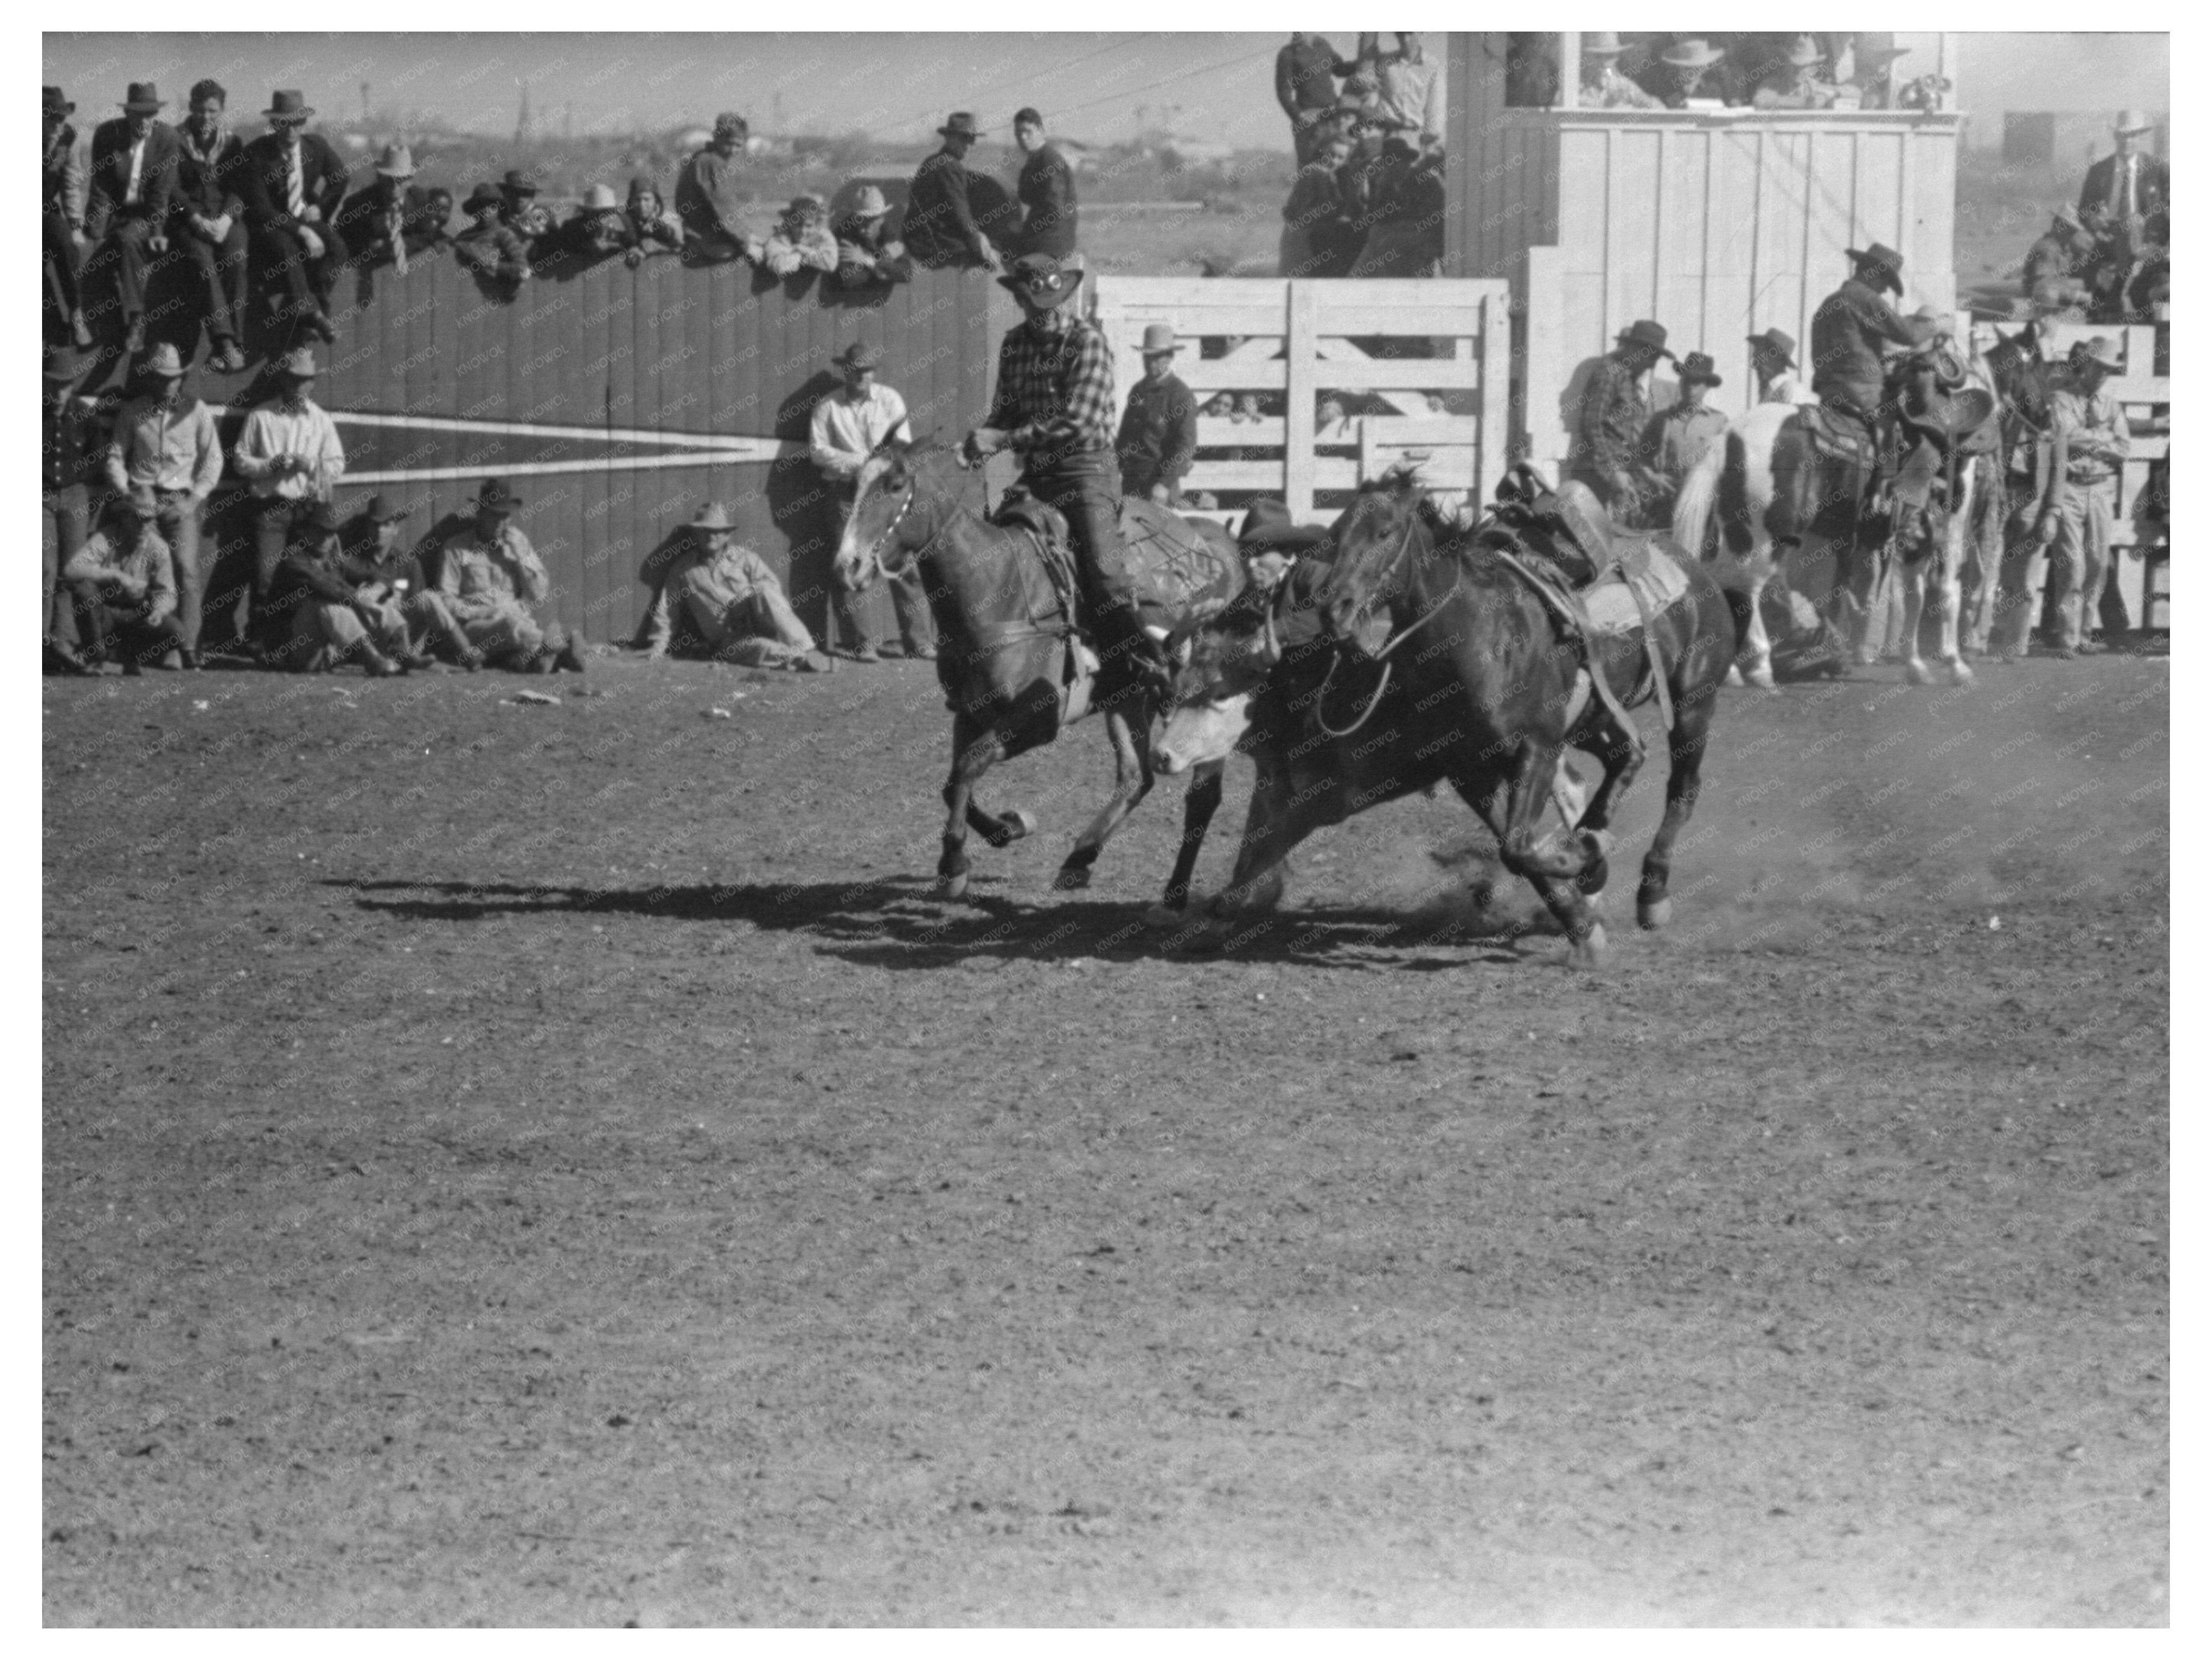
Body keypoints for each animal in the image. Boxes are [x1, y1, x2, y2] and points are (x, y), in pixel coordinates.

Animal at [831, 438, 1247, 912]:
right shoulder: (970, 712)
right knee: (1136, 778)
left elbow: (970, 765)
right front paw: (1006, 828)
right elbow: (955, 781)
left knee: (1201, 797)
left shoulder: (1038, 719)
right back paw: (1079, 858)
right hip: (1127, 698)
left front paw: (955, 865)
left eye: (895, 485)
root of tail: (1221, 547)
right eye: (854, 484)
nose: (846, 566)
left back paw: (1175, 892)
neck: (995, 588)